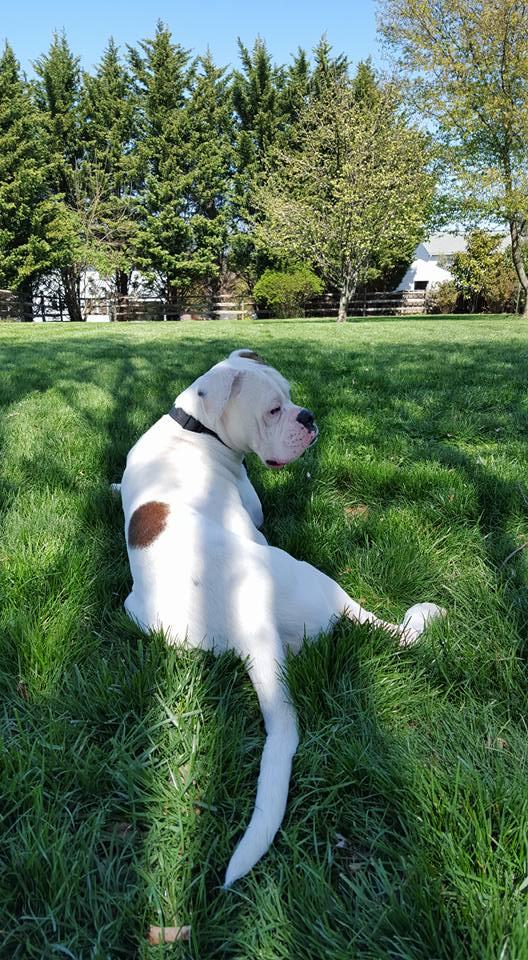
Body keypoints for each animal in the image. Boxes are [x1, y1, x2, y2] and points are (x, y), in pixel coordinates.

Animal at [116, 348, 446, 888]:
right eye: (273, 410)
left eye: (291, 397)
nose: (307, 417)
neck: (194, 426)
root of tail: (250, 626)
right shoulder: (256, 513)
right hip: (321, 585)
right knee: (387, 628)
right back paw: (422, 617)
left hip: (139, 611)